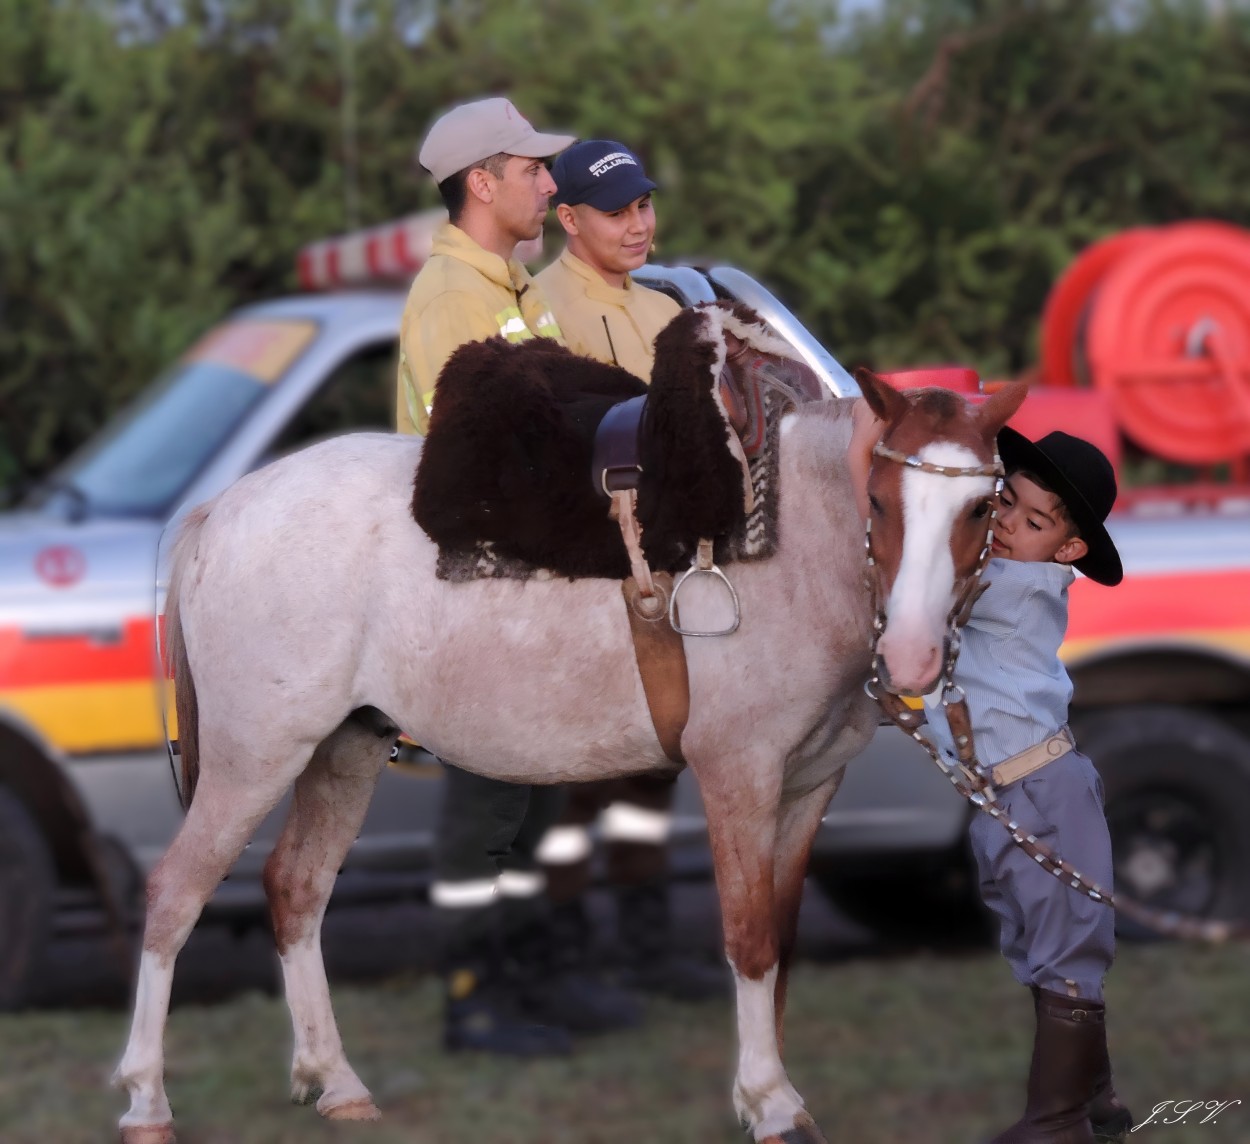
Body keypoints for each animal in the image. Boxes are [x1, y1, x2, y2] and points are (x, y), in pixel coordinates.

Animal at [112, 335, 1025, 1140]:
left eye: (983, 506)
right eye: (879, 501)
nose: (913, 654)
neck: (791, 550)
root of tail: (221, 511)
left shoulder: (809, 788)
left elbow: (783, 939)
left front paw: (781, 1092)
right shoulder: (740, 773)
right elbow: (749, 938)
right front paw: (768, 1104)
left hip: (345, 749)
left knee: (297, 889)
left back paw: (336, 1083)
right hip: (254, 755)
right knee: (176, 893)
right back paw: (147, 1100)